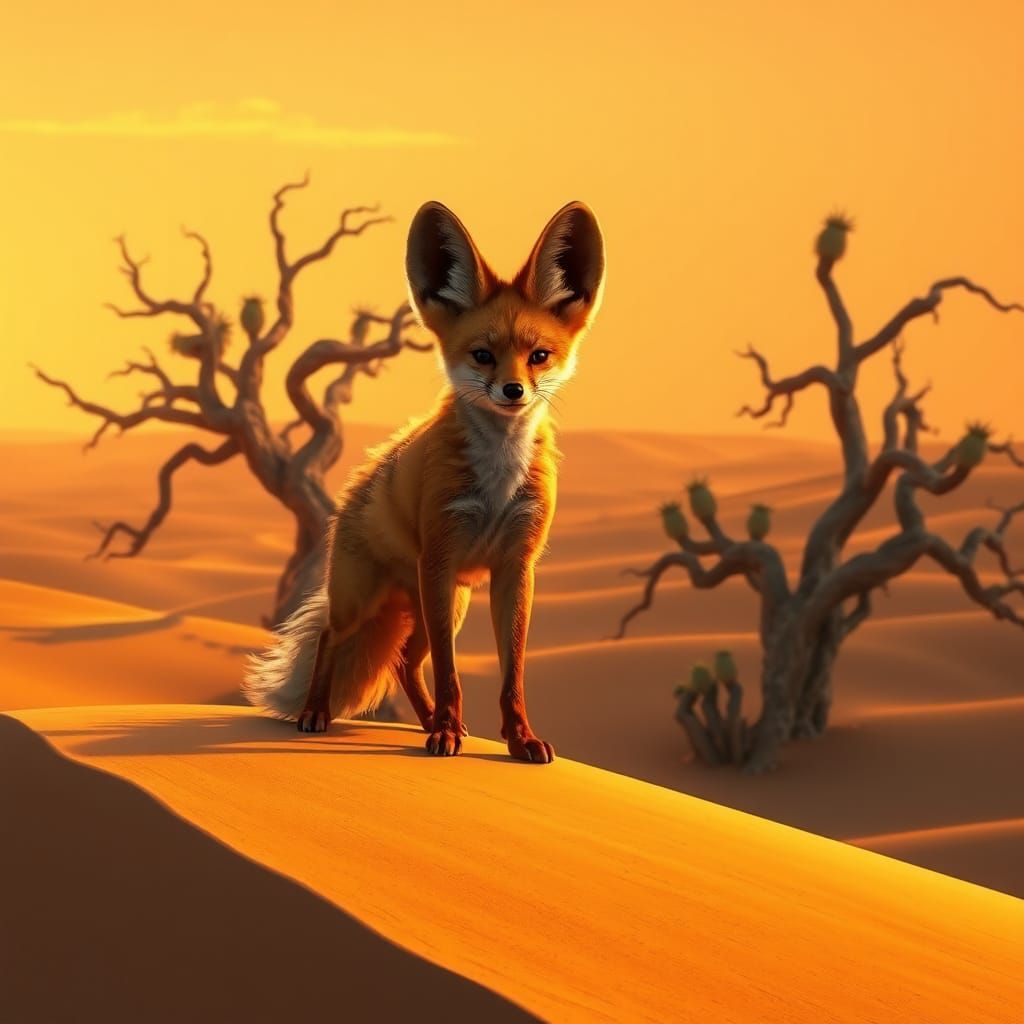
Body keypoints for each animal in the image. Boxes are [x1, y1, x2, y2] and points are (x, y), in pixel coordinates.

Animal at [243, 199, 605, 762]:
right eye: (482, 355)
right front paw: (448, 736)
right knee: (331, 638)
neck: (498, 481)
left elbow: (512, 674)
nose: (513, 391)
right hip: (370, 600)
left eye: (539, 356)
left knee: (405, 663)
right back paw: (318, 714)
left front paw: (517, 739)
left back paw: (429, 721)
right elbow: (452, 671)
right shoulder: (440, 555)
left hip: (448, 604)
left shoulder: (515, 566)